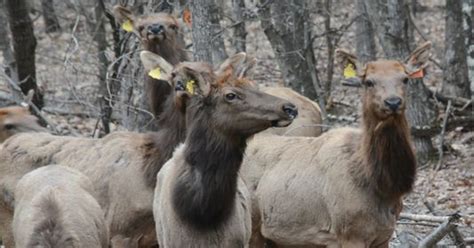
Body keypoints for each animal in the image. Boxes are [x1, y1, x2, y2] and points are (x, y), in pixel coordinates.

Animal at [241, 42, 430, 246]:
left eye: (405, 79)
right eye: (368, 81)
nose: (393, 102)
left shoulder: (384, 235)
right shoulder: (350, 233)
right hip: (251, 226)